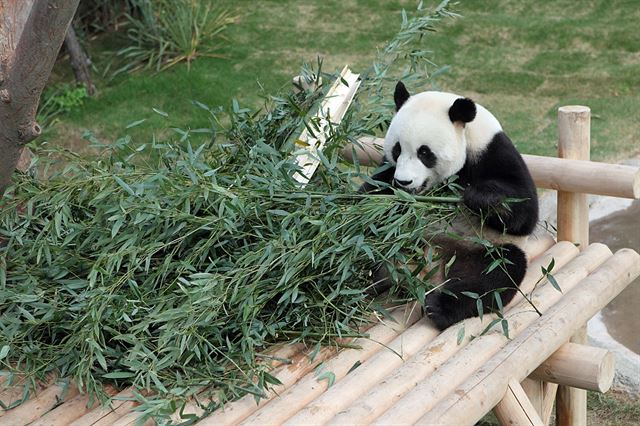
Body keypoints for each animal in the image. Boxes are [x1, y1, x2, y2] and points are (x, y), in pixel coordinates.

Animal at [362, 82, 536, 330]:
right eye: (397, 149)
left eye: (424, 152)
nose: (404, 182)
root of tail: (425, 276)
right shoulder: (387, 171)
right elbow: (371, 199)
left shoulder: (492, 152)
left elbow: (524, 210)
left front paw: (479, 197)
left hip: (480, 251)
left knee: (493, 275)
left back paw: (439, 308)